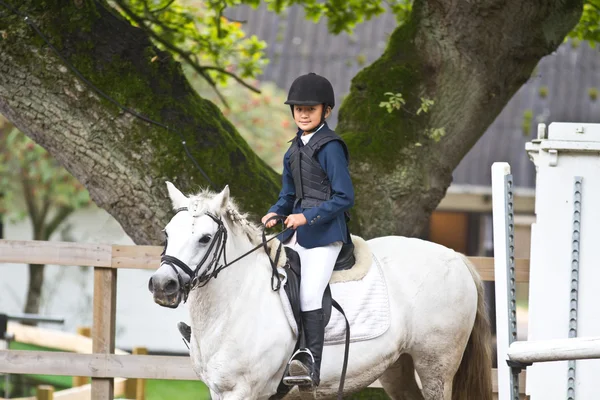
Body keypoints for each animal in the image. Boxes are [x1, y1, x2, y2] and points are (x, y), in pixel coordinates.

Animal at [149, 183, 492, 398]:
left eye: (205, 238)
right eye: (167, 233)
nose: (163, 285)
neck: (236, 301)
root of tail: (456, 257)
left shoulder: (242, 390)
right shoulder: (218, 390)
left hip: (436, 367)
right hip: (398, 367)